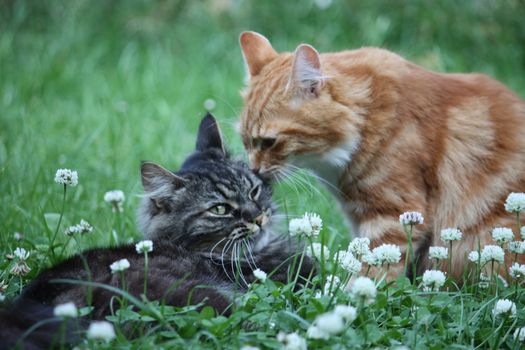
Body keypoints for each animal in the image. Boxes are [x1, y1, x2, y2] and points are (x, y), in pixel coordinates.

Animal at [237, 31, 524, 278]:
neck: (366, 121)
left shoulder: (393, 215)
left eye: (269, 142)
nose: (254, 169)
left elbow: (372, 272)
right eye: (245, 141)